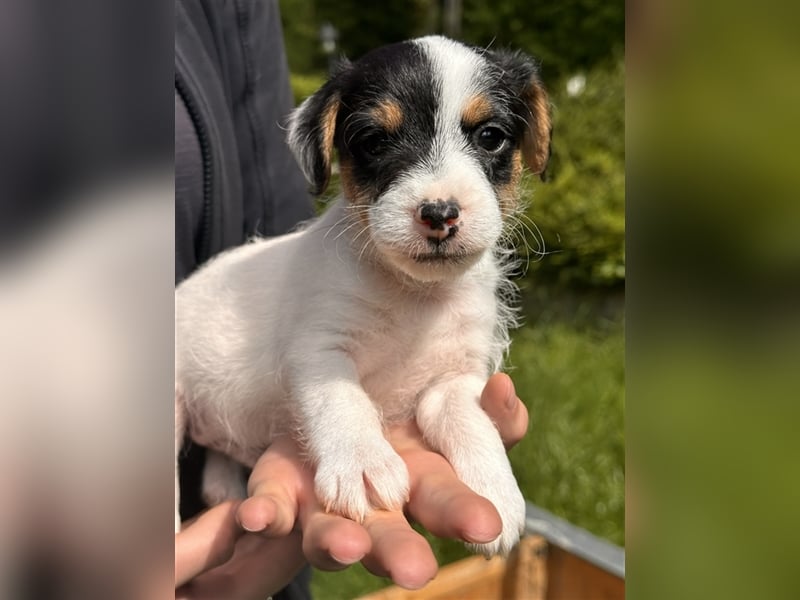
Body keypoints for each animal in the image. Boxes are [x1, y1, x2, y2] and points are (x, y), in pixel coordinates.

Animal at [174, 35, 552, 556]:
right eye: (374, 142)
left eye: (490, 136)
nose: (440, 213)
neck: (414, 295)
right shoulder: (320, 349)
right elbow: (342, 400)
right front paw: (362, 463)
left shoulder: (454, 378)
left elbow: (471, 422)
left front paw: (495, 486)